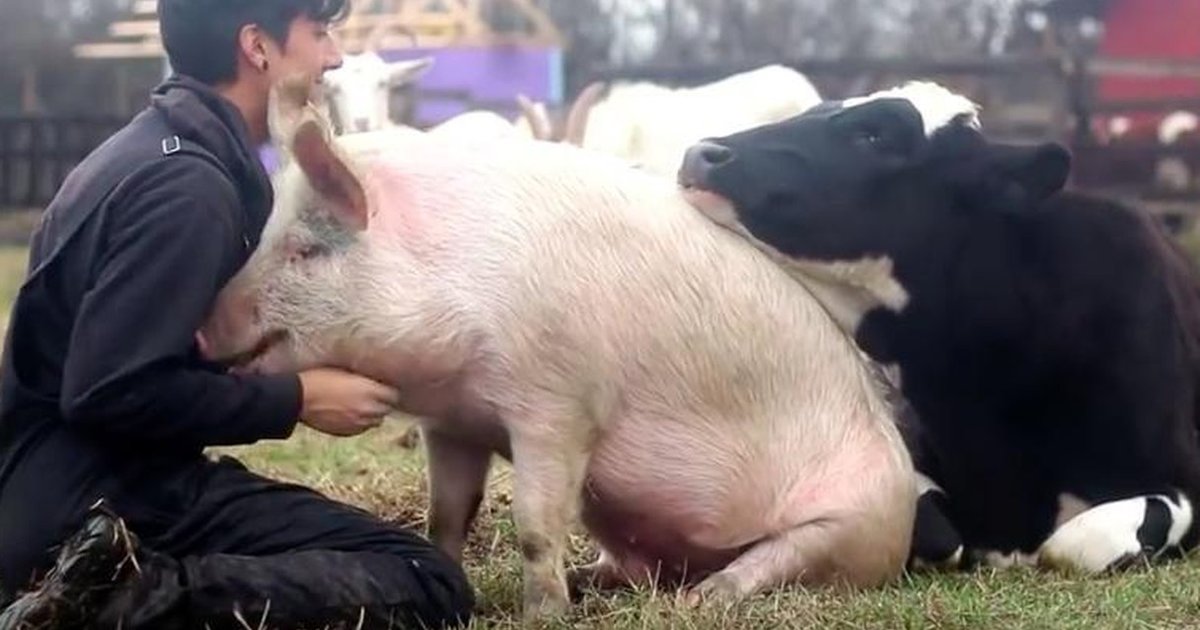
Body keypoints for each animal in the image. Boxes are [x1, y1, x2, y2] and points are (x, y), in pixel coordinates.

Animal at [198, 77, 917, 620]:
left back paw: (701, 599)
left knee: (766, 566)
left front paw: (540, 616)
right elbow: (445, 515)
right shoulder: (450, 424)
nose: (203, 328)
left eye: (306, 251)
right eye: (265, 235)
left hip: (846, 523)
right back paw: (597, 582)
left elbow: (536, 525)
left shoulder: (558, 408)